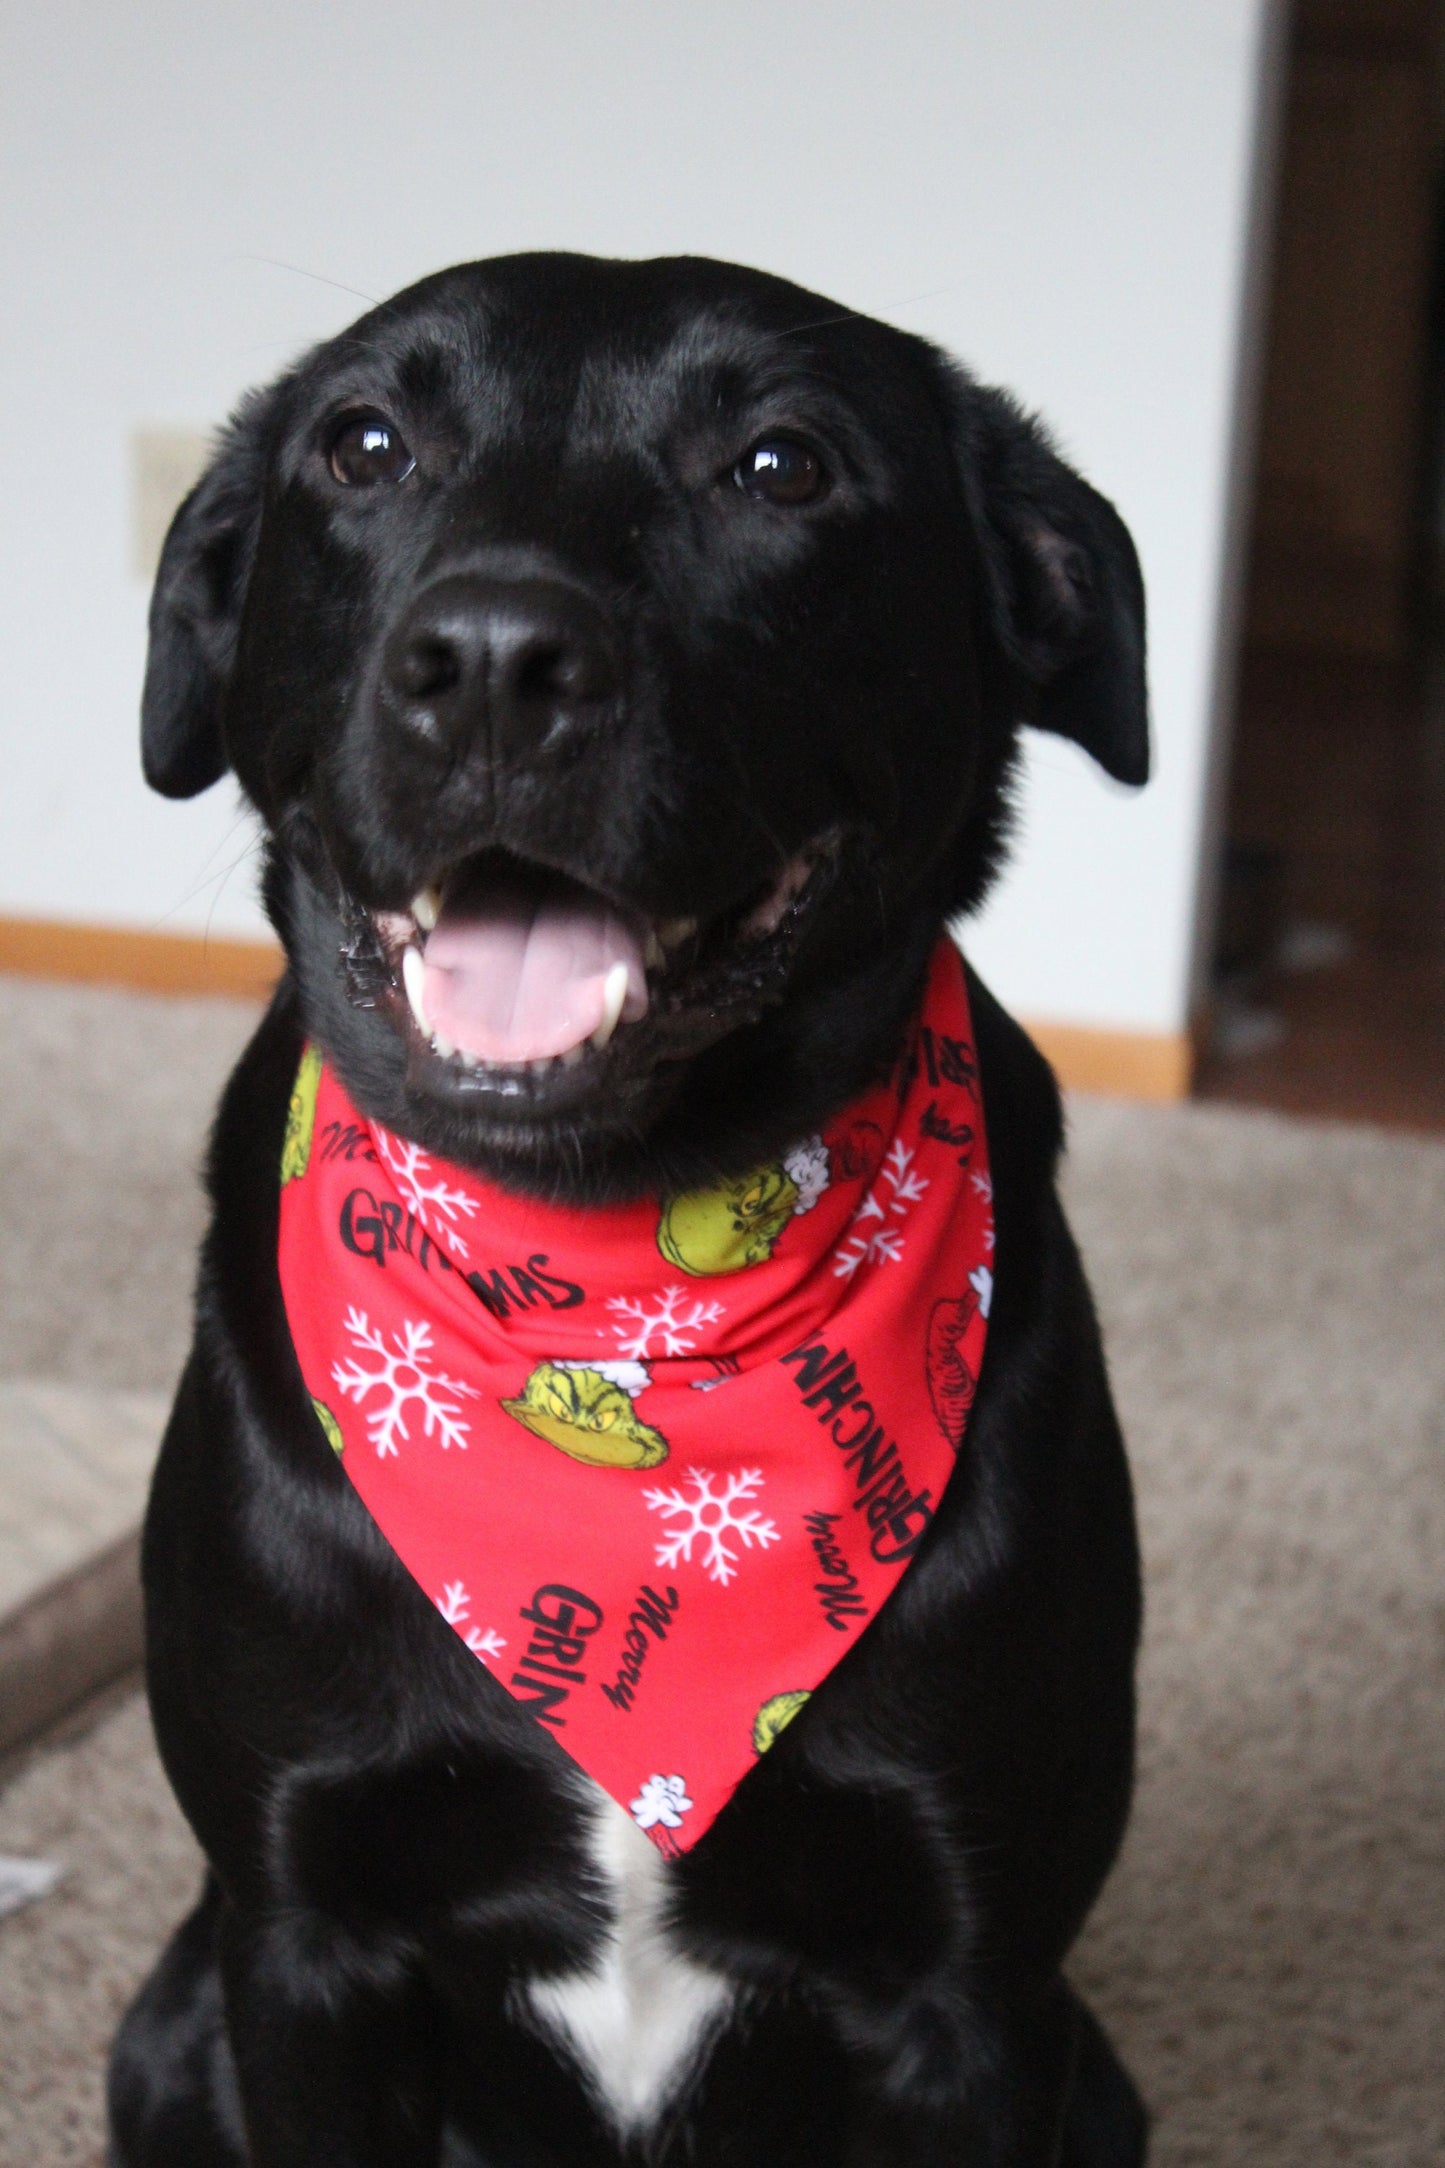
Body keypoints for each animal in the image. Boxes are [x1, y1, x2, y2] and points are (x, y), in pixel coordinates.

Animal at [107, 246, 1152, 2159]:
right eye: (365, 445)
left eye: (782, 467)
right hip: (167, 2024)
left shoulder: (972, 1984)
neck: (606, 1278)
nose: (493, 665)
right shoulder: (300, 1934)